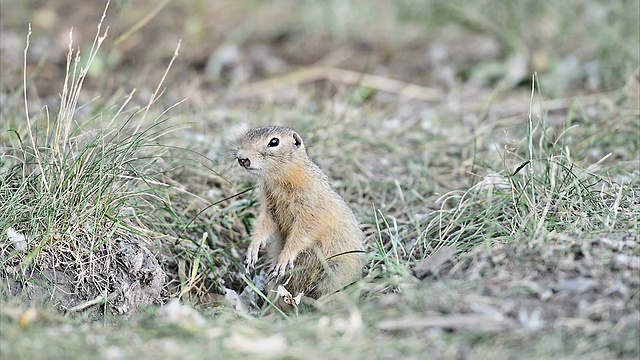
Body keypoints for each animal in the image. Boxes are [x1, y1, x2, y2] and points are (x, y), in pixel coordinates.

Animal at [236, 125, 364, 300]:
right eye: (247, 135)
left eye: (274, 142)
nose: (241, 158)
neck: (281, 181)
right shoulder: (270, 207)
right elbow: (264, 225)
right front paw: (252, 250)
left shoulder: (310, 209)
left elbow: (302, 234)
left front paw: (284, 259)